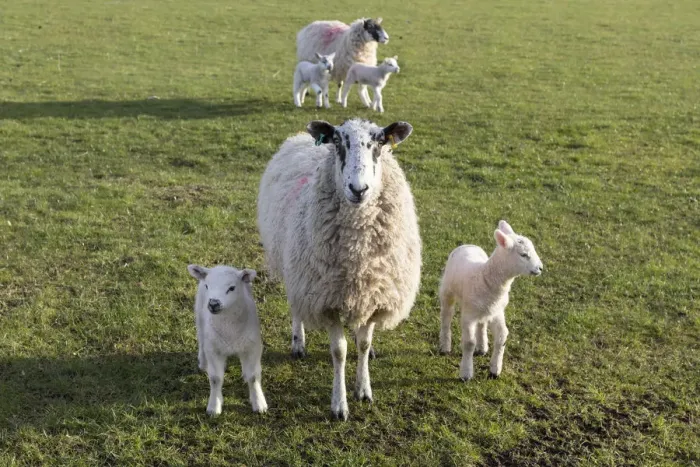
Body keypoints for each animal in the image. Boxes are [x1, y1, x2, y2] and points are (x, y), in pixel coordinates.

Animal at [187, 264, 268, 416]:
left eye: (231, 288)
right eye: (207, 286)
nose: (213, 303)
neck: (229, 329)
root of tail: (221, 265)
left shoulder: (253, 347)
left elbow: (253, 377)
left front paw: (259, 403)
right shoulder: (214, 350)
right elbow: (215, 378)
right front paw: (214, 406)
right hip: (199, 316)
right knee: (201, 339)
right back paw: (203, 362)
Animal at [257, 118, 421, 421]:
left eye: (380, 142)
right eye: (337, 141)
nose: (359, 189)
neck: (357, 255)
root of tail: (299, 137)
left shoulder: (374, 295)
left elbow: (363, 345)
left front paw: (364, 389)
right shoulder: (326, 300)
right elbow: (339, 351)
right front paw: (339, 404)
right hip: (296, 271)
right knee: (296, 308)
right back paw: (298, 343)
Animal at [438, 221, 543, 381]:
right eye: (523, 254)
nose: (540, 268)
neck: (484, 277)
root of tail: (468, 245)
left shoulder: (497, 312)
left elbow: (502, 337)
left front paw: (495, 370)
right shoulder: (468, 315)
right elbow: (469, 343)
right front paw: (466, 373)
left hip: (485, 309)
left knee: (482, 324)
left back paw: (482, 347)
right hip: (447, 291)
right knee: (446, 316)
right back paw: (445, 346)